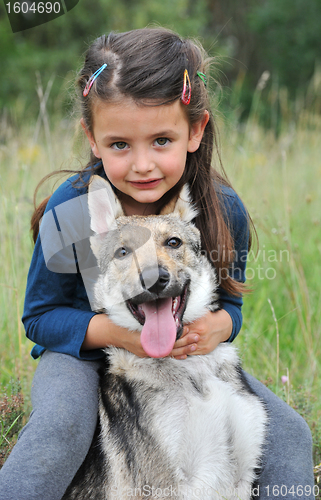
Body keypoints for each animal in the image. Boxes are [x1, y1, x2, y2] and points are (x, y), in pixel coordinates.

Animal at [62, 176, 264, 500]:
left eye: (173, 243)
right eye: (123, 252)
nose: (153, 279)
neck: (191, 370)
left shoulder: (241, 476)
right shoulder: (162, 483)